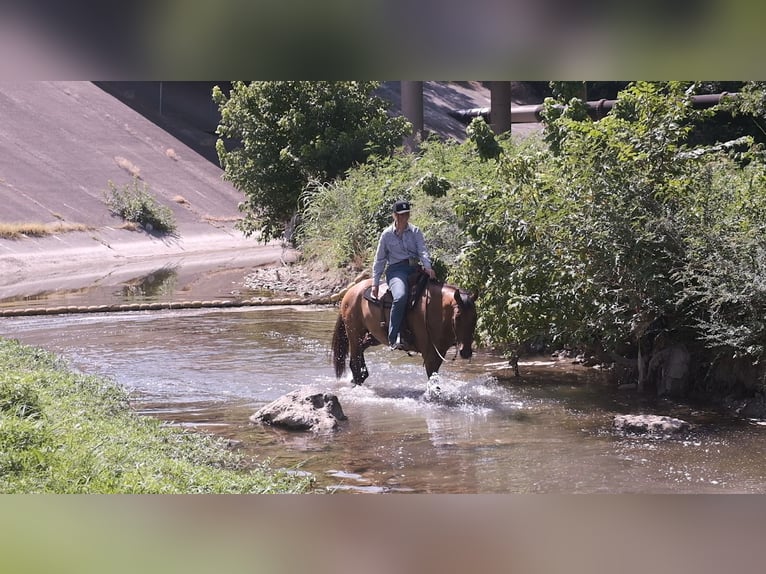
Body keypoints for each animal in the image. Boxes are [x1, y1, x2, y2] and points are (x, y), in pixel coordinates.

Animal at [332, 274, 476, 388]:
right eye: (458, 317)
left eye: (475, 317)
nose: (465, 352)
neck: (436, 309)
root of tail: (351, 291)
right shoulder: (430, 355)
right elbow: (433, 381)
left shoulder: (439, 352)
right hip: (354, 333)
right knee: (355, 357)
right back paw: (357, 378)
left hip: (374, 336)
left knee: (361, 350)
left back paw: (361, 375)